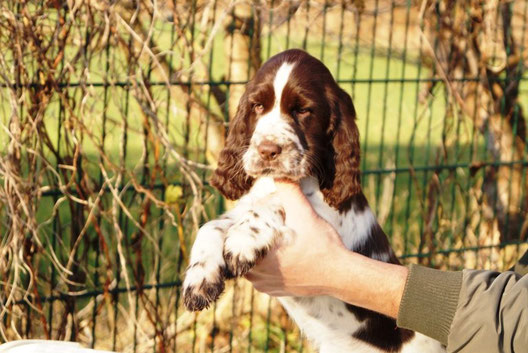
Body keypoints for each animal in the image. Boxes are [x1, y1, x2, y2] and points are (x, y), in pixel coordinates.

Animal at [184, 48, 444, 352]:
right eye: (257, 106)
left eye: (302, 110)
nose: (267, 150)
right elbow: (211, 225)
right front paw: (199, 279)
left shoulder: (329, 215)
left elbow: (273, 203)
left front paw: (243, 239)